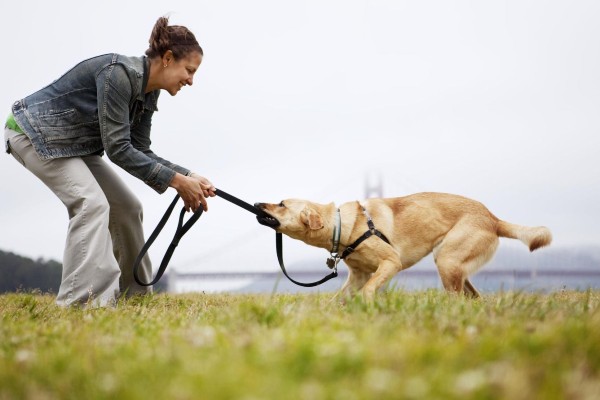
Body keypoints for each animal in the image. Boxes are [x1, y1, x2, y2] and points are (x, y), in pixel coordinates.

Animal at [255, 192, 552, 302]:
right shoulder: (357, 276)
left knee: (458, 297)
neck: (343, 225)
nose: (257, 204)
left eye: (281, 204)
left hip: (446, 260)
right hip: (454, 265)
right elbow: (339, 297)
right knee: (473, 296)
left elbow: (370, 288)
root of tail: (493, 218)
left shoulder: (390, 263)